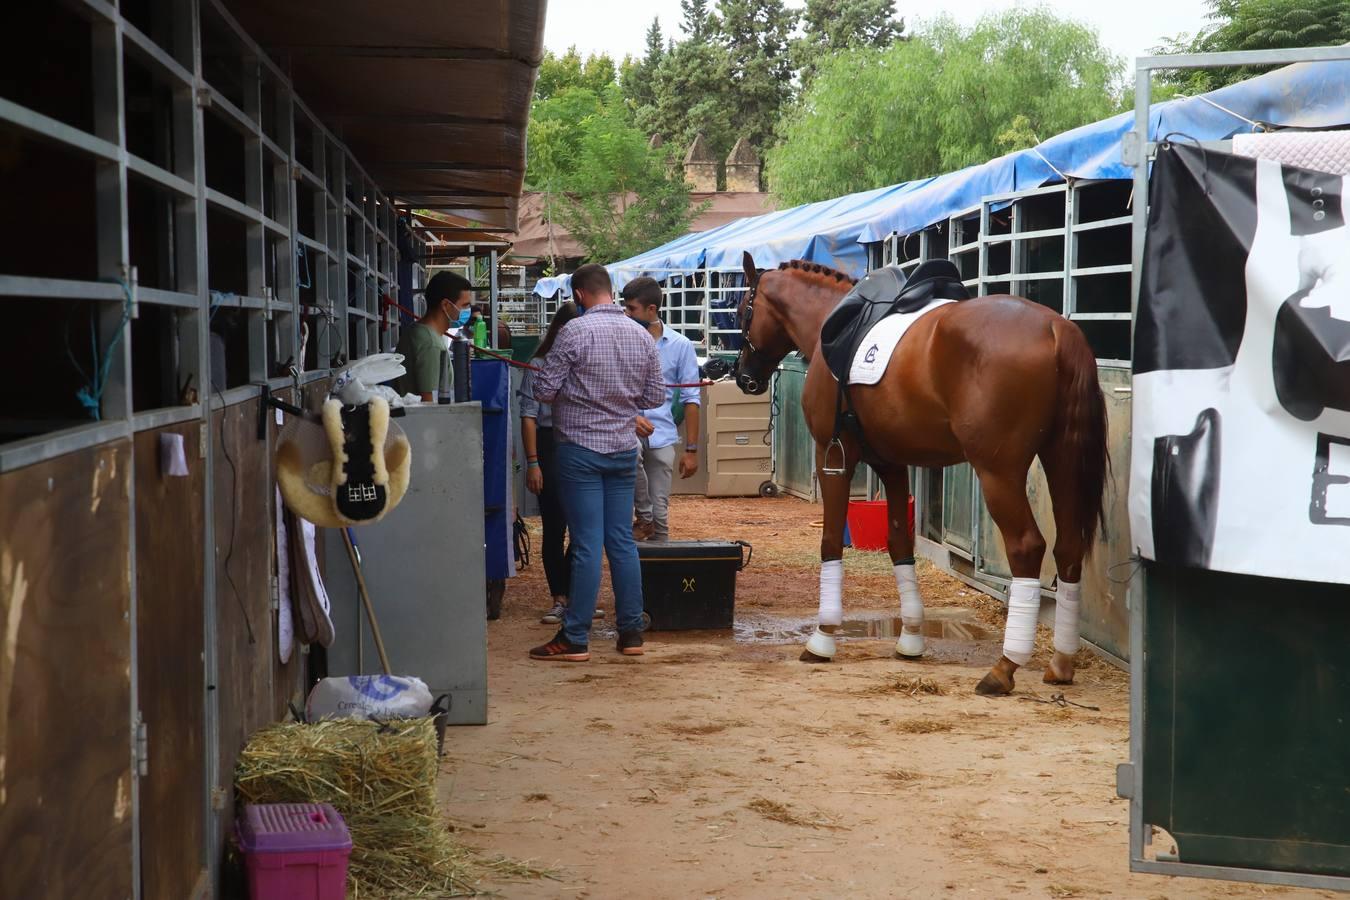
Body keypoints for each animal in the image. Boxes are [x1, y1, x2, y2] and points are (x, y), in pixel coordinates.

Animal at [739, 253, 1107, 696]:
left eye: (742, 310)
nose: (743, 377)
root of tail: (1056, 328)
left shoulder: (833, 456)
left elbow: (829, 542)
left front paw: (822, 638)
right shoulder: (892, 464)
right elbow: (899, 541)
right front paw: (911, 638)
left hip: (998, 472)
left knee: (1026, 547)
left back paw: (1004, 667)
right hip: (1062, 460)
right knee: (1068, 548)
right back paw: (1061, 662)